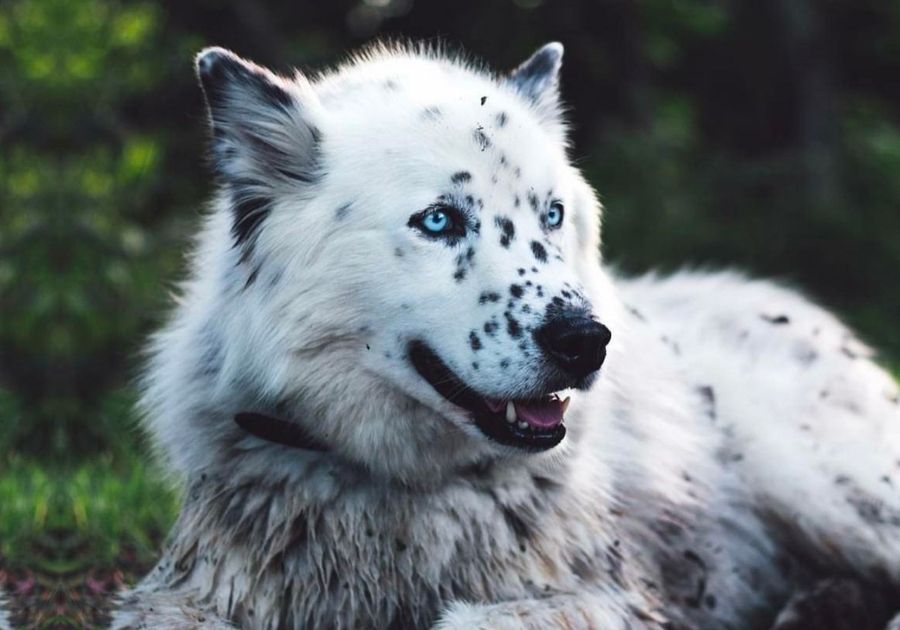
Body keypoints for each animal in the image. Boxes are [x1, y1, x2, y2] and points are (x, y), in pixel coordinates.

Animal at [112, 42, 900, 628]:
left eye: (552, 214)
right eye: (438, 220)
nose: (587, 341)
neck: (396, 498)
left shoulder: (601, 600)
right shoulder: (184, 594)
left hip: (816, 483)